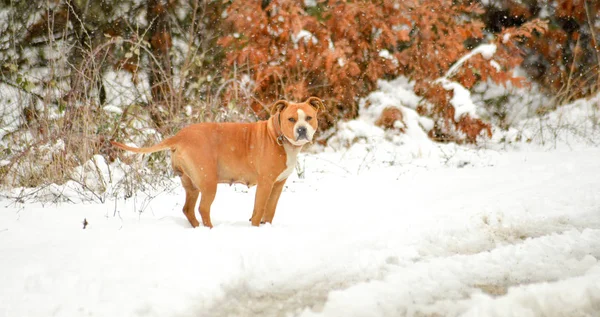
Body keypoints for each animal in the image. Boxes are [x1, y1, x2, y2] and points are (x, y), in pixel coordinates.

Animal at [109, 96, 322, 227]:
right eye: (291, 119)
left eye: (309, 118)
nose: (301, 129)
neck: (278, 136)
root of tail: (179, 136)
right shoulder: (265, 183)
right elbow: (259, 209)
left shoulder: (277, 185)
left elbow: (270, 210)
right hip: (209, 181)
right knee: (203, 208)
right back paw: (210, 230)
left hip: (191, 184)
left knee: (188, 209)